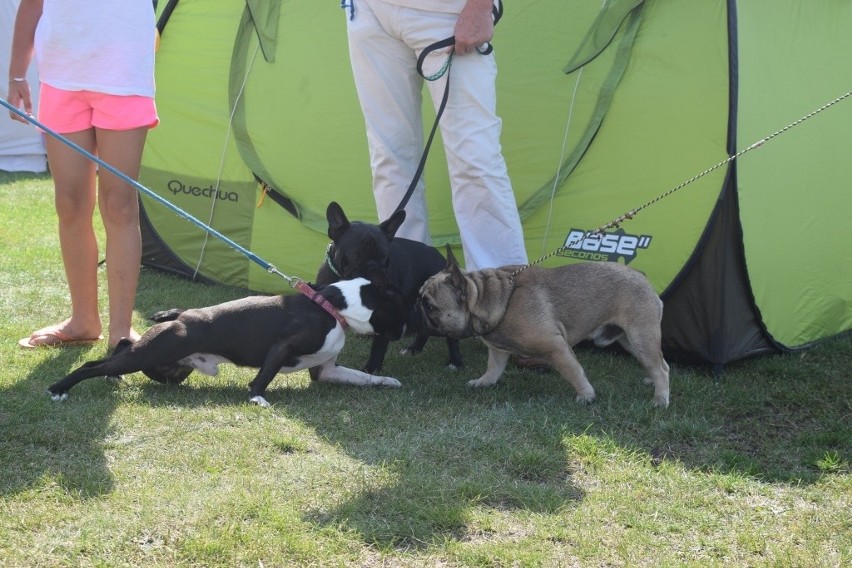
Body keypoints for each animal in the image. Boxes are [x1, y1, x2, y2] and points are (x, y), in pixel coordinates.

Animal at [46, 268, 410, 406]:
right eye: (401, 309)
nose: (406, 330)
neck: (332, 307)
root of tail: (178, 317)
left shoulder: (327, 370)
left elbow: (363, 377)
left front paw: (387, 381)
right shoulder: (283, 346)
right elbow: (263, 377)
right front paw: (257, 398)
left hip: (168, 367)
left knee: (122, 349)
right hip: (150, 353)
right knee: (94, 365)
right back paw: (60, 388)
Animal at [314, 202, 462, 374]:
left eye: (384, 257)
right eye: (355, 257)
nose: (373, 268)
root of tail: (440, 257)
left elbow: (378, 346)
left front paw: (371, 370)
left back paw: (455, 361)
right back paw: (413, 349)